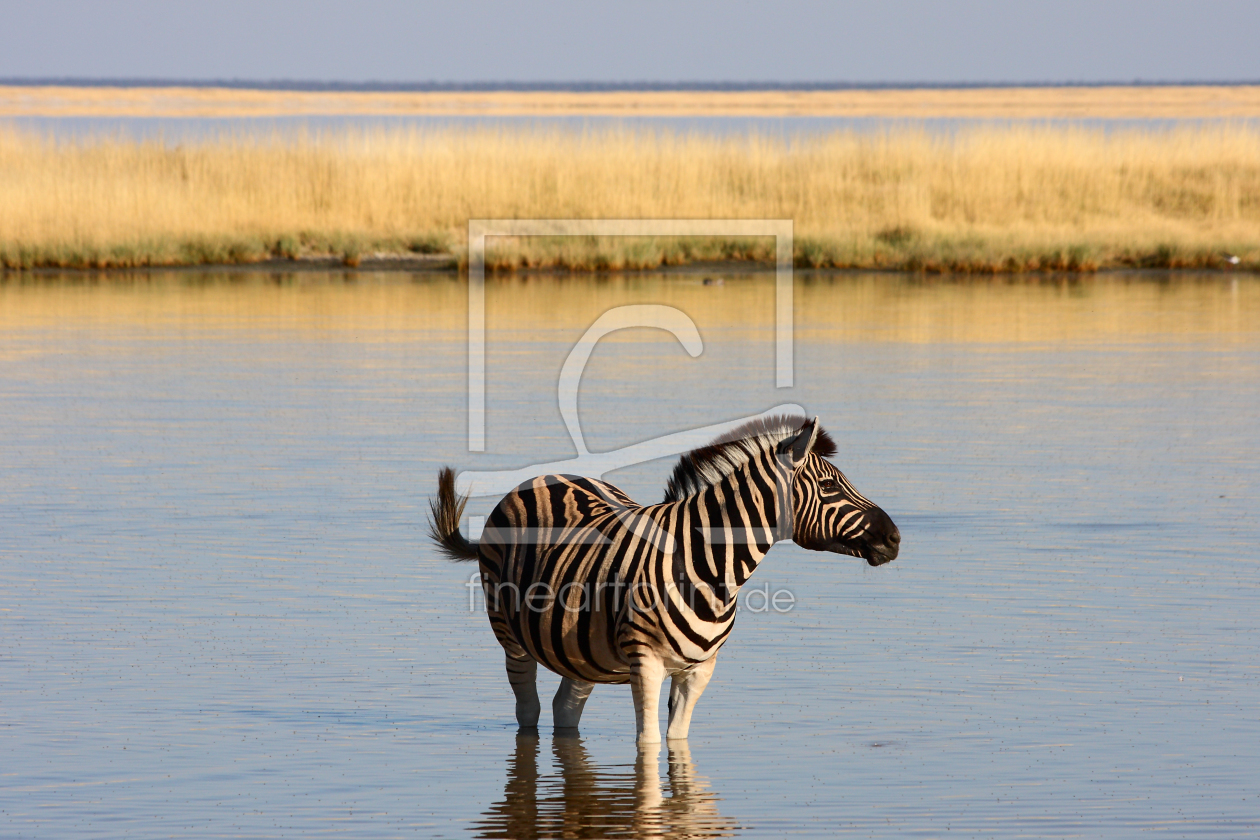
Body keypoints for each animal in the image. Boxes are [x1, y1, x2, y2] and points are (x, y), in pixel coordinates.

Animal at [428, 413, 902, 740]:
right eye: (830, 489)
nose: (895, 538)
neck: (710, 569)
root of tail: (539, 477)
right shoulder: (646, 665)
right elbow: (649, 746)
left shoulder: (699, 671)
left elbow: (677, 742)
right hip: (511, 635)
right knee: (528, 711)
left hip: (579, 646)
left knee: (565, 709)